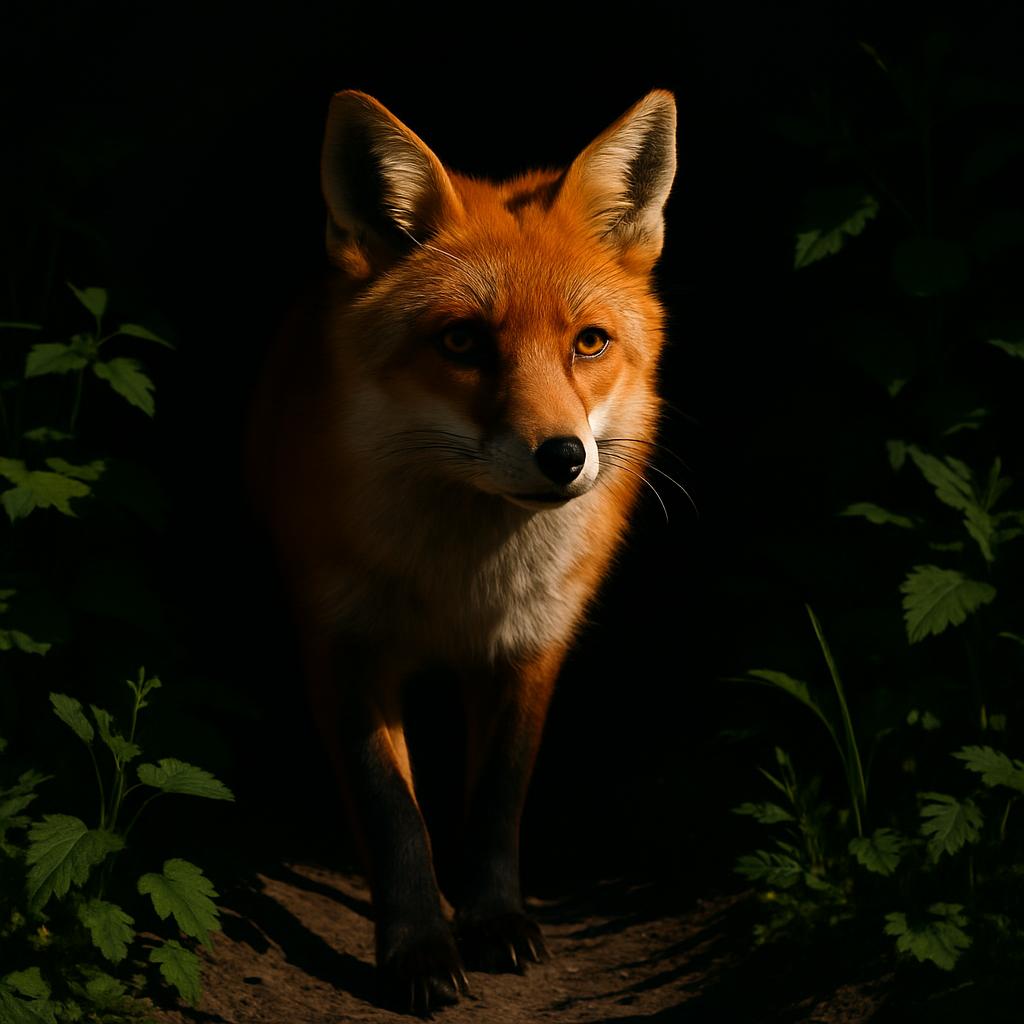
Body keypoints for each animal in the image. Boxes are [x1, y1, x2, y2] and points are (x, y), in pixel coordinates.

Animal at [246, 88, 676, 1015]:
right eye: (462, 342)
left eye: (589, 342)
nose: (563, 456)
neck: (461, 582)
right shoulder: (343, 642)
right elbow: (393, 814)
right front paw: (416, 947)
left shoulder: (531, 644)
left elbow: (496, 802)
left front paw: (493, 920)